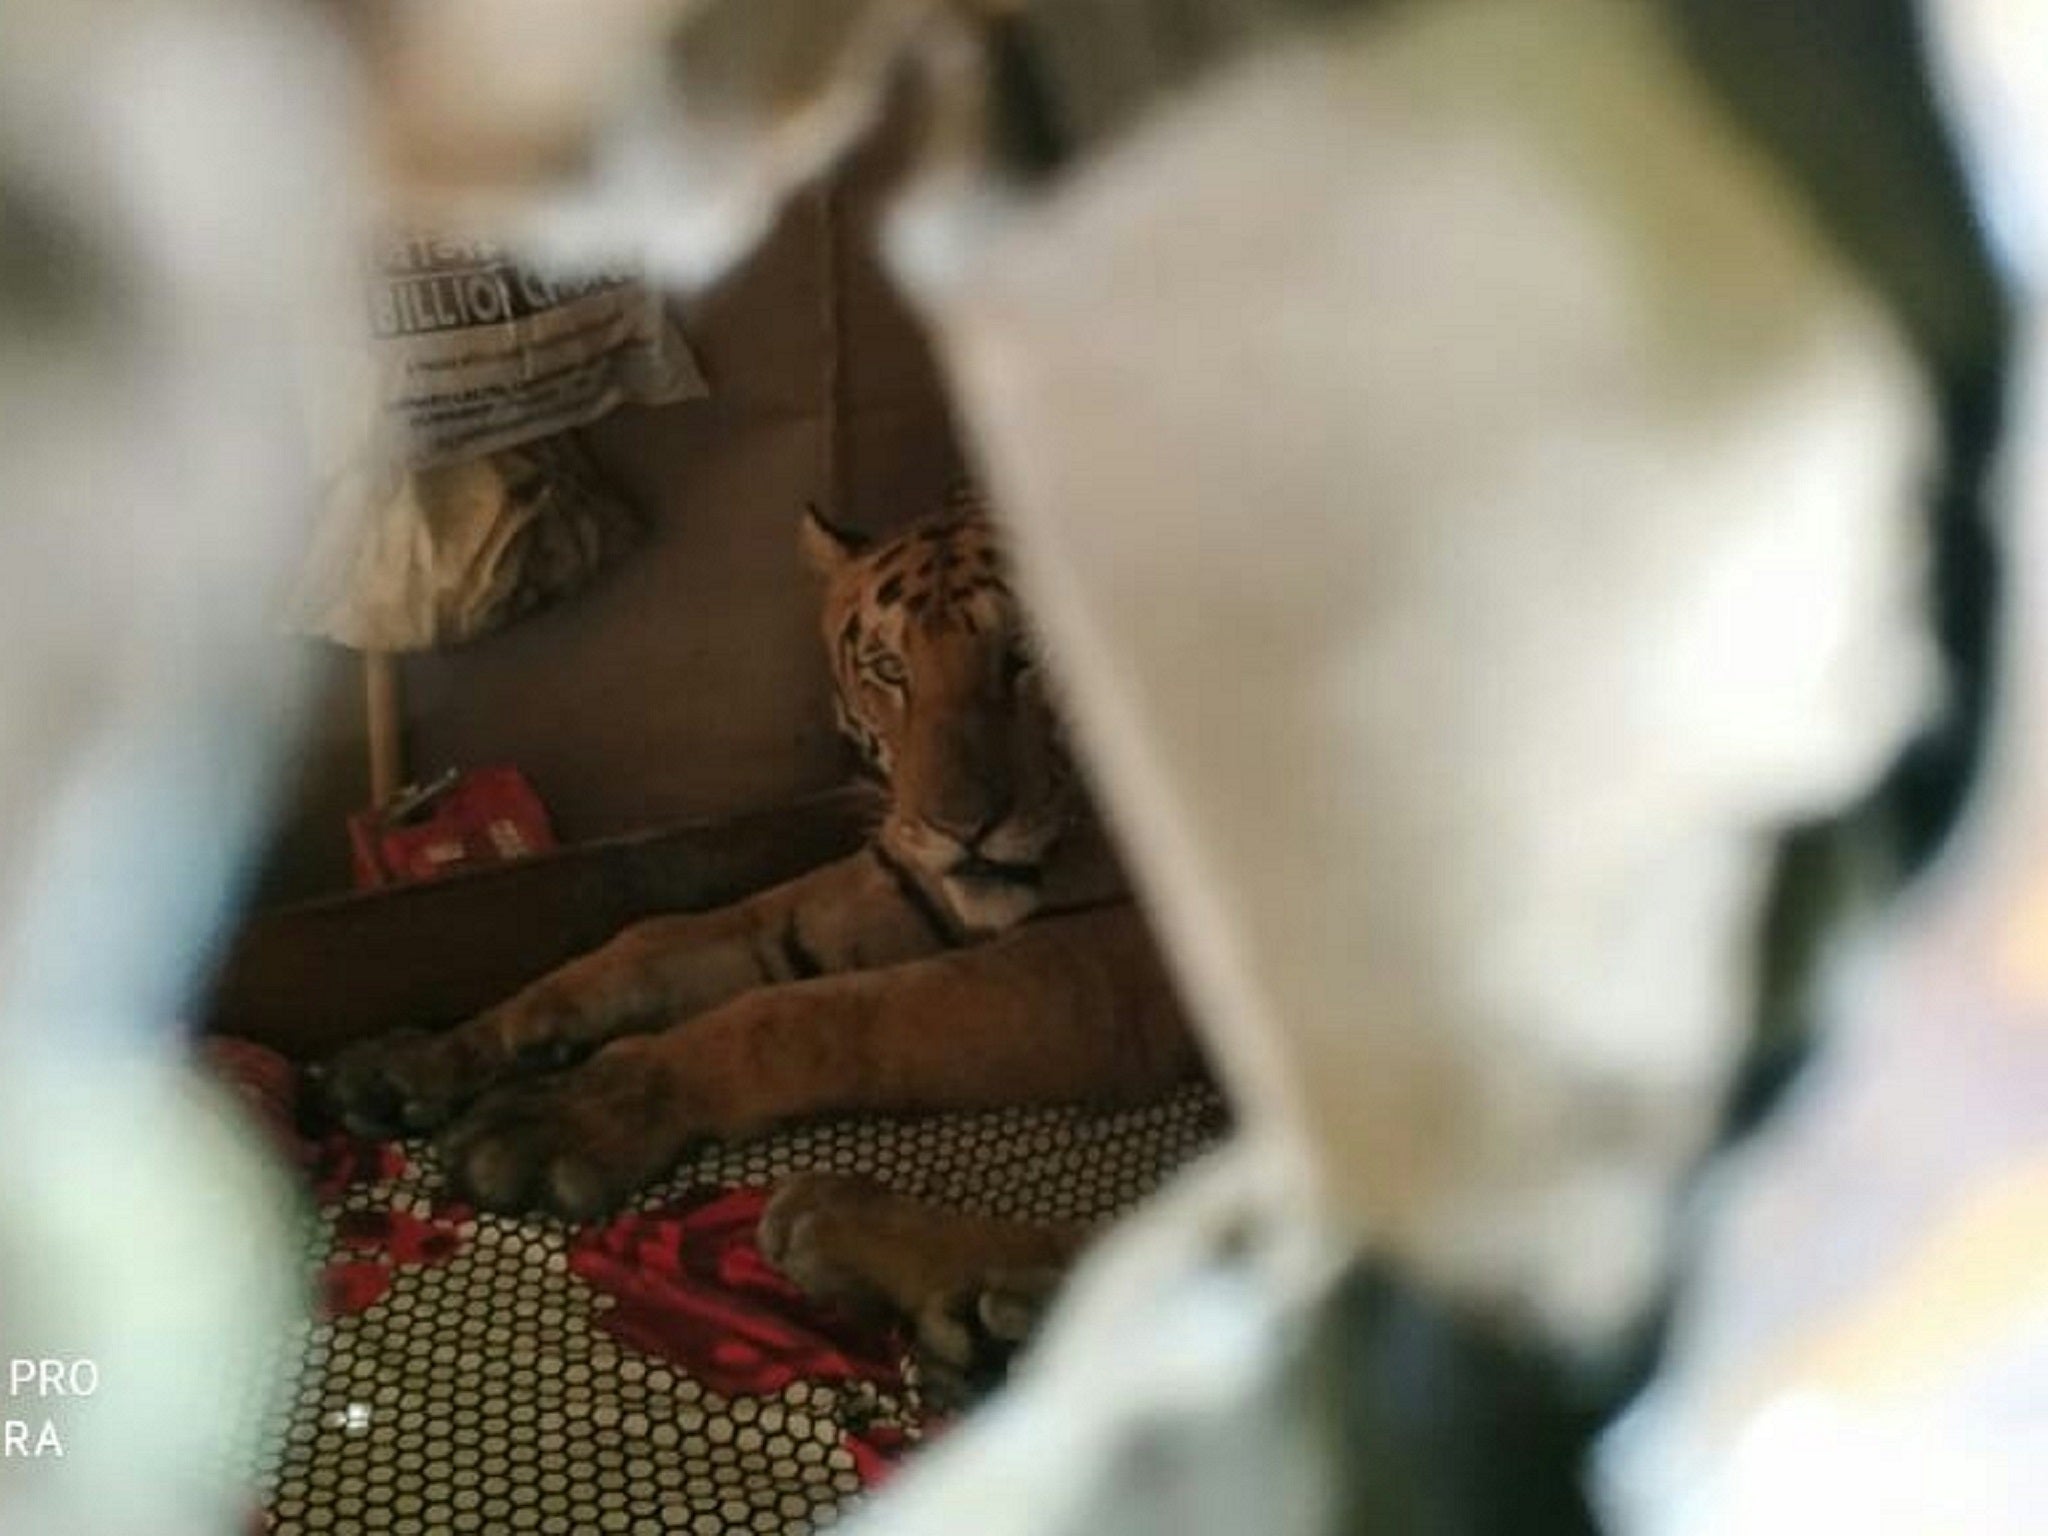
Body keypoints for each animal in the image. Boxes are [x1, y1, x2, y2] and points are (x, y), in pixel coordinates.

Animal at [323, 499, 1196, 1376]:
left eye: (1029, 653)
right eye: (889, 669)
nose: (961, 827)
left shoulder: (1105, 969)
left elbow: (805, 1015)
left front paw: (566, 1116)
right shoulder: (898, 881)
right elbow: (663, 941)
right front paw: (428, 1059)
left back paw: (894, 1256)